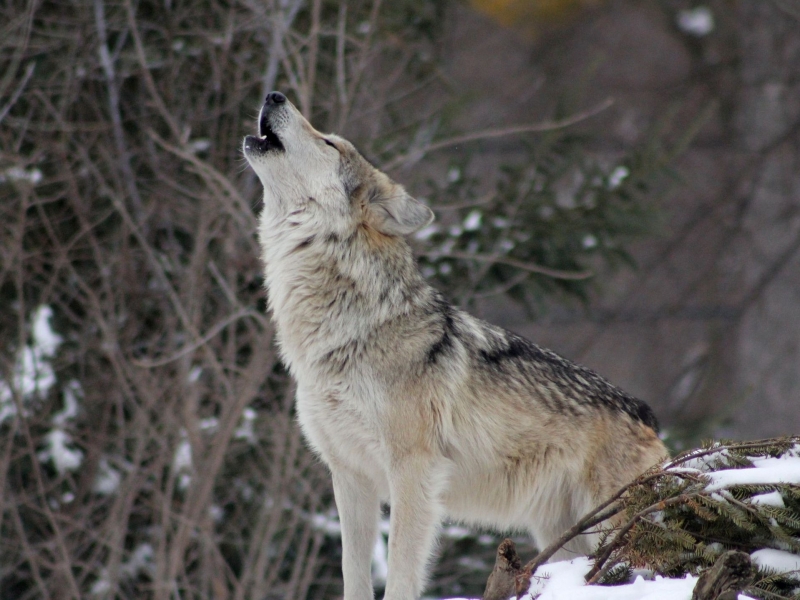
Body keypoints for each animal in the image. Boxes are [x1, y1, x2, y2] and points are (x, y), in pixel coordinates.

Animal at [244, 91, 668, 596]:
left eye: (329, 142)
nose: (274, 94)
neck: (347, 329)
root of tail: (648, 416)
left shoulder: (413, 472)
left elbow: (400, 574)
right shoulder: (349, 476)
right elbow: (353, 573)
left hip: (610, 528)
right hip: (563, 535)